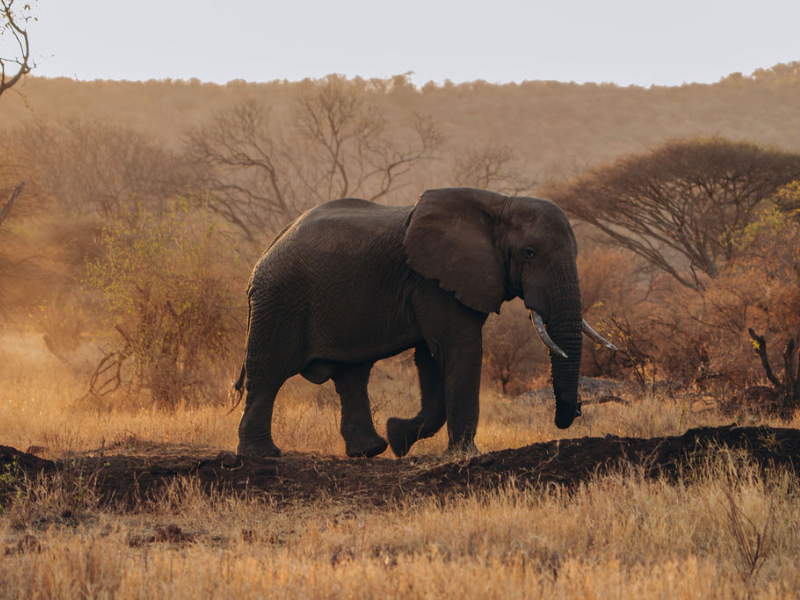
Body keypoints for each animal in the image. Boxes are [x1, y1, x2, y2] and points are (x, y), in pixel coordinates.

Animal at [233, 187, 614, 459]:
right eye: (529, 253)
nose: (576, 410)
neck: (500, 203)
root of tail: (270, 247)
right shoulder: (433, 280)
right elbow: (458, 349)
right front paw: (465, 454)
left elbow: (431, 358)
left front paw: (398, 437)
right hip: (280, 299)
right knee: (269, 372)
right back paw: (261, 454)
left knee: (352, 374)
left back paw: (370, 450)